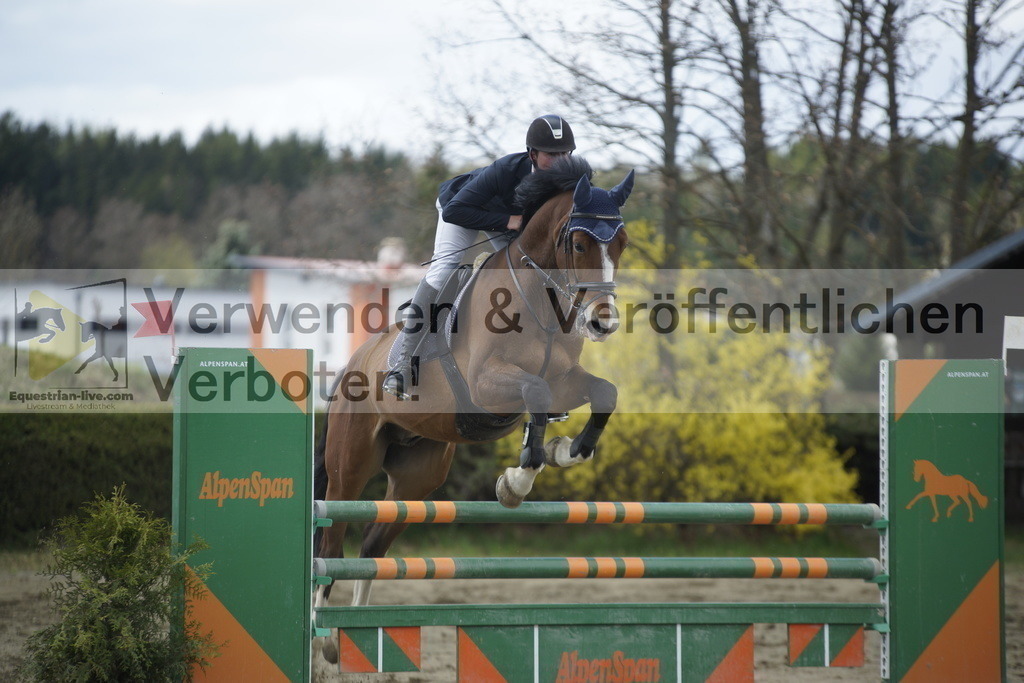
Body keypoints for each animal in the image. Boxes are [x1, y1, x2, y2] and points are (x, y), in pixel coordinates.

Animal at [311, 156, 630, 663]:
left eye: (622, 243)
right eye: (579, 243)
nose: (603, 322)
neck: (539, 300)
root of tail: (350, 367)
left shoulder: (565, 379)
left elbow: (603, 394)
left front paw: (562, 451)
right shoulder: (487, 383)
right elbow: (536, 394)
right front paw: (517, 481)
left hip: (416, 477)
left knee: (372, 546)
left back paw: (361, 629)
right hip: (350, 467)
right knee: (332, 539)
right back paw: (325, 638)